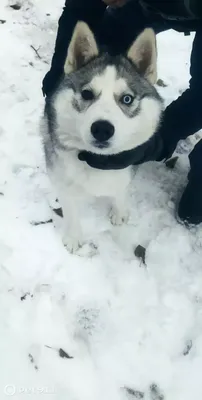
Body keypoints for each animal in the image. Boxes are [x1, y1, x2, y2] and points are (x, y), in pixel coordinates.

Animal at [42, 21, 163, 253]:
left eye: (127, 99)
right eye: (87, 94)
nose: (102, 129)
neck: (98, 161)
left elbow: (121, 189)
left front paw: (119, 211)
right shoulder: (61, 175)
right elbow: (70, 208)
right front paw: (73, 237)